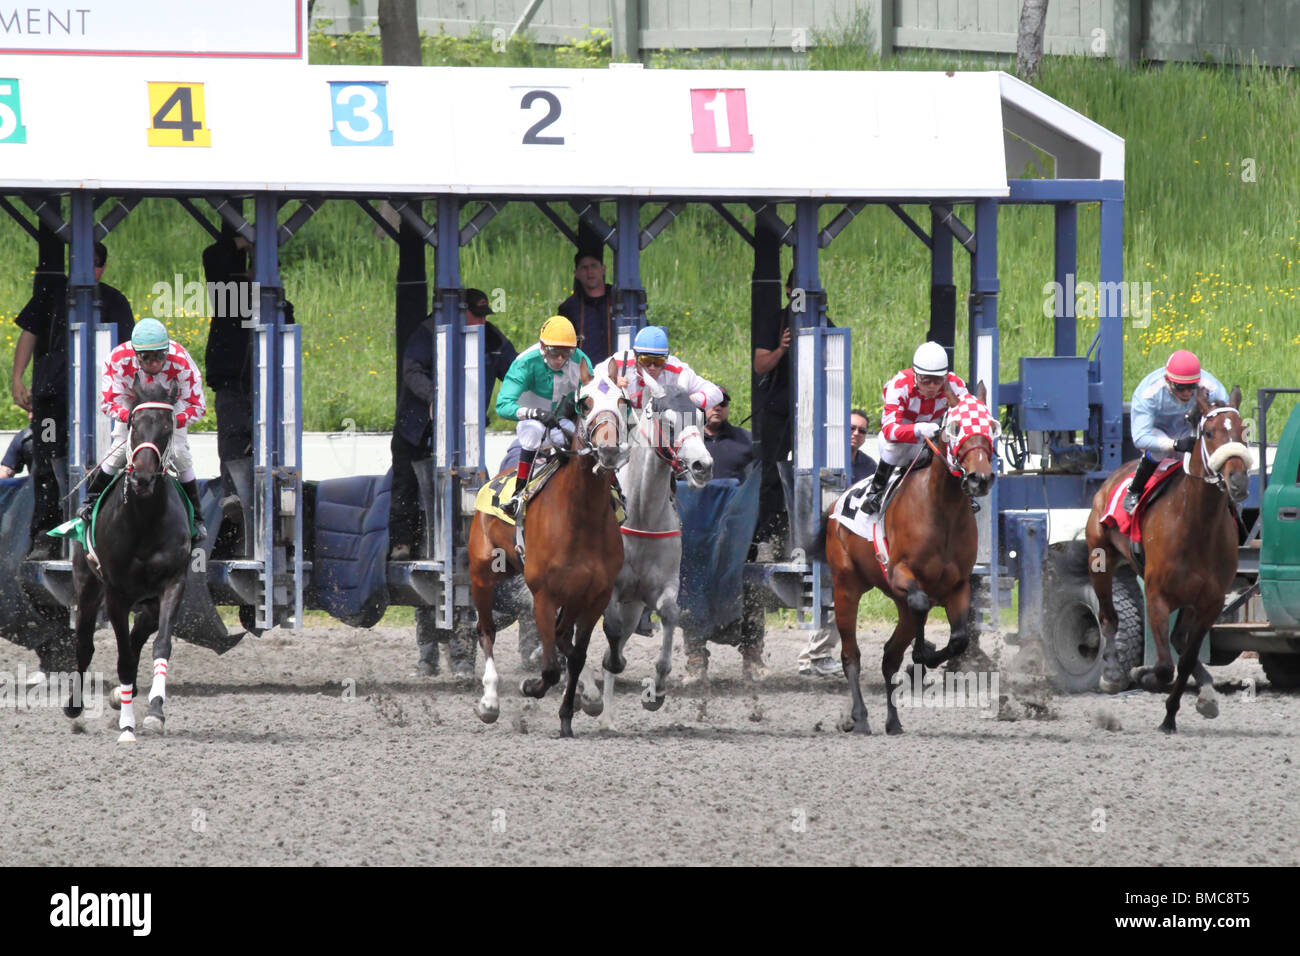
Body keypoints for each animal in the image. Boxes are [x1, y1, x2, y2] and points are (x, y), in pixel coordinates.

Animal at [63, 371, 191, 738]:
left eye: (167, 426)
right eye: (134, 424)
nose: (144, 478)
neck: (144, 521)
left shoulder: (173, 583)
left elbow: (160, 645)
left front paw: (155, 712)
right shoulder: (115, 592)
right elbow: (121, 657)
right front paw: (127, 727)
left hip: (147, 600)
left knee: (139, 636)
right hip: (87, 585)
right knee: (85, 644)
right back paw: (75, 705)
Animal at [467, 382, 629, 738]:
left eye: (623, 403)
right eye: (585, 404)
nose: (609, 452)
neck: (580, 517)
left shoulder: (595, 596)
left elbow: (576, 654)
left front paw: (568, 714)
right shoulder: (544, 595)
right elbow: (552, 668)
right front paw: (530, 686)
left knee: (563, 639)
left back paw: (588, 694)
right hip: (482, 573)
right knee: (486, 630)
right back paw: (489, 701)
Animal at [821, 385, 993, 738]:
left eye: (992, 426)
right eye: (955, 427)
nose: (980, 479)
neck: (943, 510)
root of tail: (835, 504)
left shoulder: (959, 586)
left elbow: (959, 638)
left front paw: (926, 657)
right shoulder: (901, 573)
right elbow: (920, 603)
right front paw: (922, 653)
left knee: (889, 656)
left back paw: (893, 720)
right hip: (846, 587)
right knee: (851, 654)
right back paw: (859, 717)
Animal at [1081, 382, 1253, 733]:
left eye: (1243, 431)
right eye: (1209, 432)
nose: (1238, 481)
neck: (1196, 526)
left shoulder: (1210, 602)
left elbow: (1184, 660)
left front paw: (1173, 714)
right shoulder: (1157, 596)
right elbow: (1162, 667)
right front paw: (1139, 674)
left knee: (1178, 640)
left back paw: (1206, 690)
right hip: (1100, 559)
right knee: (1108, 617)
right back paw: (1113, 673)